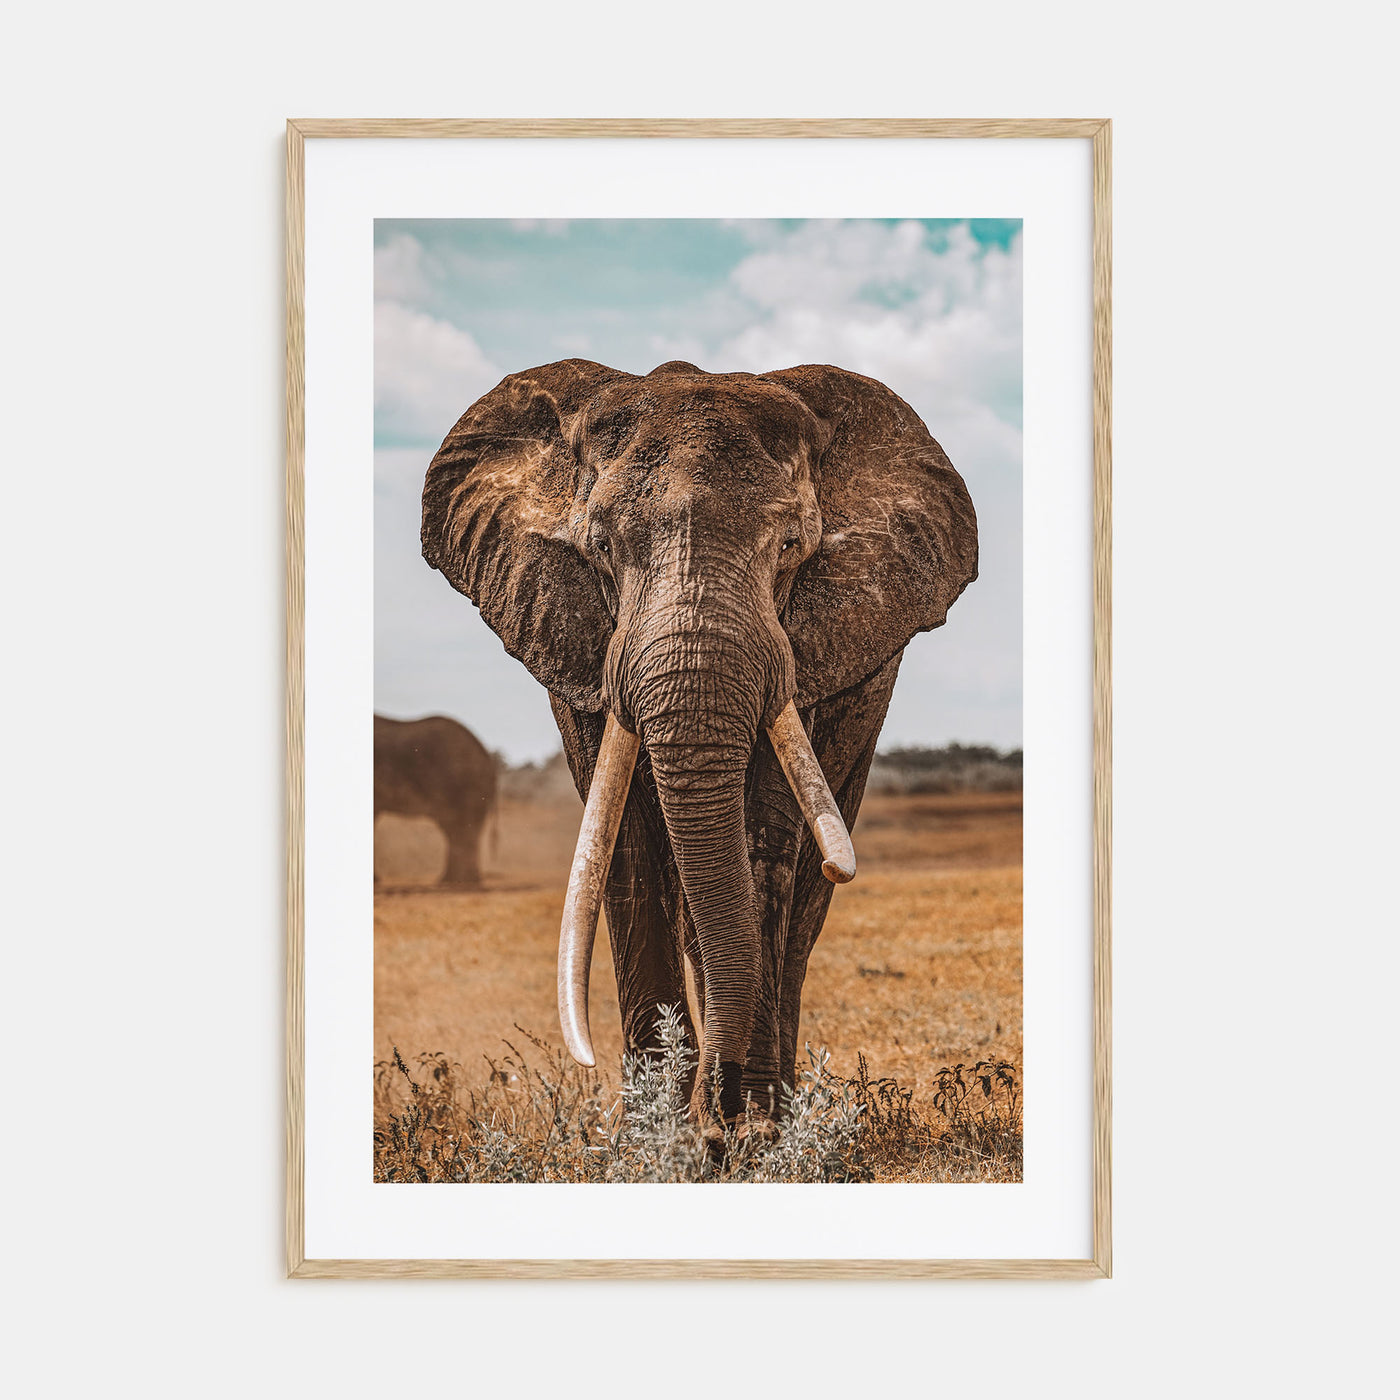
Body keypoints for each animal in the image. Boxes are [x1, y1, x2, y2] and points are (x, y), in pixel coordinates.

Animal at [421, 358, 977, 1130]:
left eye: (790, 548)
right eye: (600, 549)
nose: (714, 1116)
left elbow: (762, 845)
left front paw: (747, 1132)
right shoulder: (579, 645)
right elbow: (624, 845)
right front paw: (655, 1132)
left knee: (801, 907)